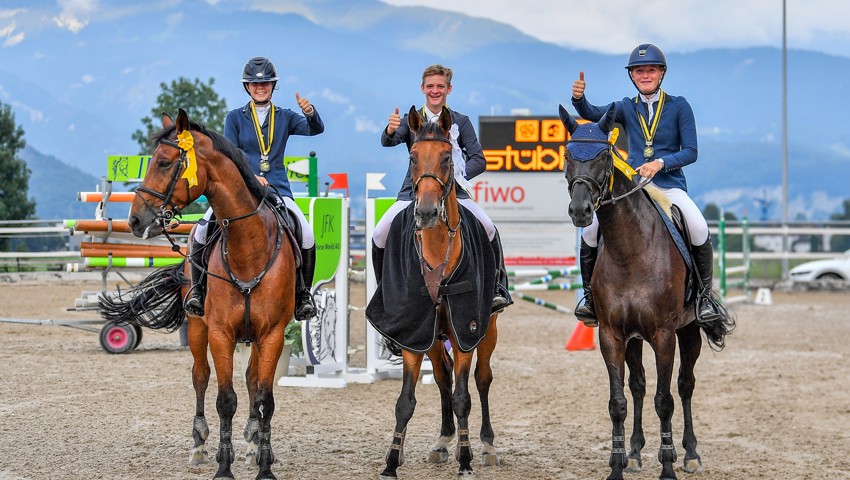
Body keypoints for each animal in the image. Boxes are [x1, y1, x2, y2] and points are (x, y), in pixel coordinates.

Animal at [99, 109, 296, 480]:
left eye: (164, 162)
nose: (135, 220)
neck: (249, 246)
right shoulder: (219, 332)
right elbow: (225, 399)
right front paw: (223, 467)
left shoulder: (273, 334)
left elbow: (264, 399)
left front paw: (264, 464)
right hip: (196, 326)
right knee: (200, 377)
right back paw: (199, 445)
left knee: (251, 382)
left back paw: (252, 446)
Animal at [368, 106, 500, 480]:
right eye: (412, 157)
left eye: (446, 157)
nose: (426, 212)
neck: (438, 248)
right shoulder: (414, 332)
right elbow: (406, 402)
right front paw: (391, 463)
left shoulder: (465, 330)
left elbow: (463, 397)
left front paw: (466, 460)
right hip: (432, 336)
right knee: (442, 378)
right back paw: (443, 440)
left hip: (487, 330)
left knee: (482, 380)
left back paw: (486, 445)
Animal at [560, 105, 732, 480]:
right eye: (567, 155)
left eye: (604, 156)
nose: (580, 211)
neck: (629, 250)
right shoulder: (611, 335)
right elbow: (618, 402)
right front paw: (616, 467)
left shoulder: (664, 334)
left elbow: (665, 400)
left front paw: (668, 467)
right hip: (633, 338)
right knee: (638, 386)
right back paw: (635, 452)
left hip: (688, 329)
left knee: (685, 385)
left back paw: (691, 454)